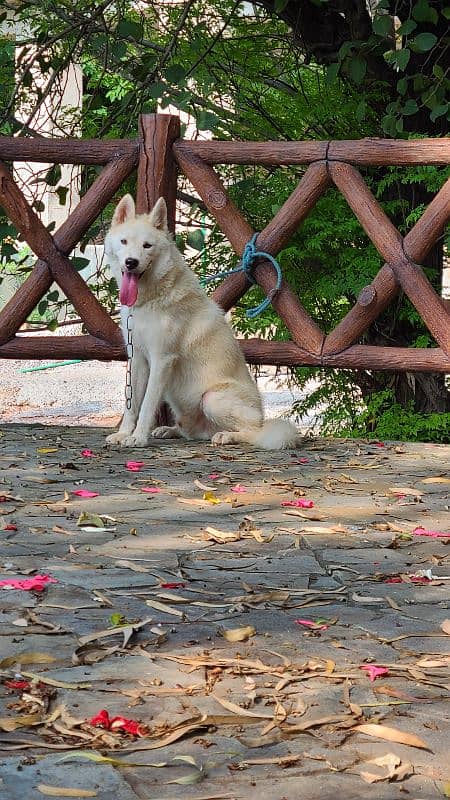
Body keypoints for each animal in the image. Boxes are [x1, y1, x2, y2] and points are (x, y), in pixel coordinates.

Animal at [105, 191, 300, 446]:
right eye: (124, 242)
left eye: (147, 246)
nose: (131, 262)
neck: (149, 299)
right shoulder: (137, 358)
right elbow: (132, 404)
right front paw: (124, 434)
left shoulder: (161, 360)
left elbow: (146, 404)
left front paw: (138, 438)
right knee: (189, 431)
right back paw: (170, 430)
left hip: (212, 398)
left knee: (254, 432)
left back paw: (227, 436)